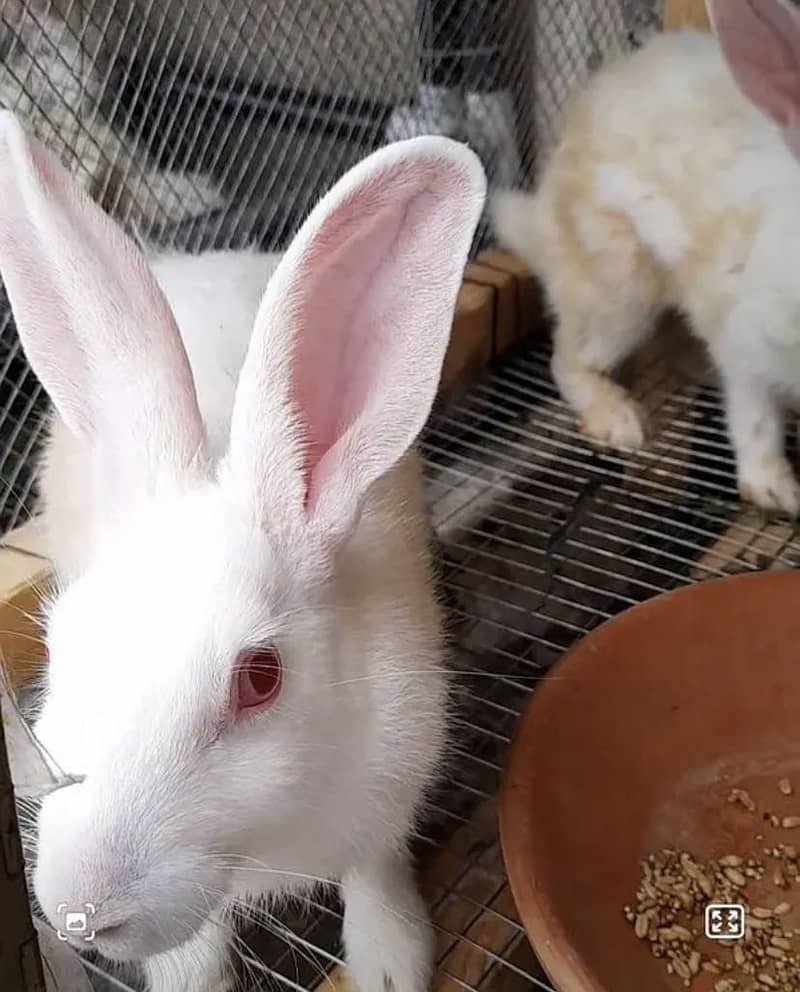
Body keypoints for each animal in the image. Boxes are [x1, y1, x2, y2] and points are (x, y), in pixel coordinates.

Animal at [0, 110, 486, 992]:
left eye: (260, 679)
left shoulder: (390, 790)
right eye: (59, 647)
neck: (262, 842)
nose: (81, 911)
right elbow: (191, 953)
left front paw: (391, 963)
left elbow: (376, 871)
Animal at [492, 0, 800, 518]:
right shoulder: (744, 336)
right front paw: (775, 491)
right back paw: (619, 418)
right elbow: (755, 417)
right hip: (621, 287)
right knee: (568, 361)